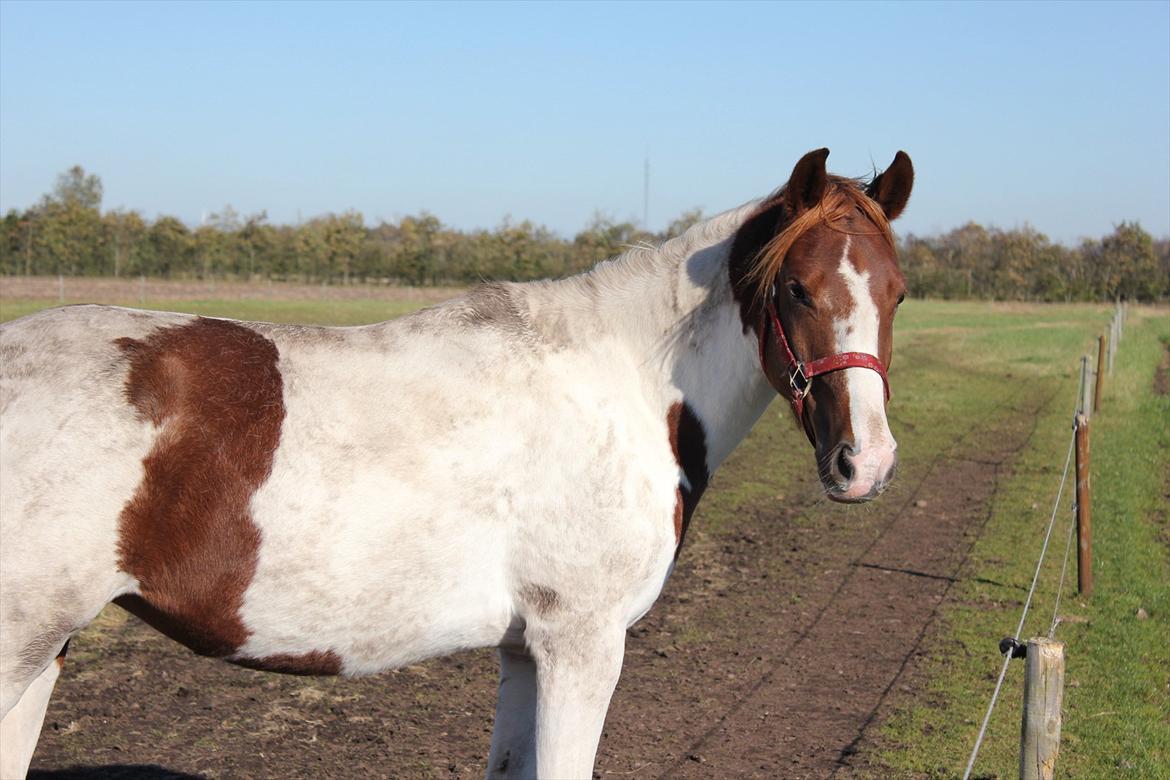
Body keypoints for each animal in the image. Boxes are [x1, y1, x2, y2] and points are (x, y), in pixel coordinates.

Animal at [0, 147, 912, 780]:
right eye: (796, 289)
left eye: (898, 291)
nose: (863, 461)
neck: (624, 379)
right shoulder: (580, 644)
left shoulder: (525, 652)